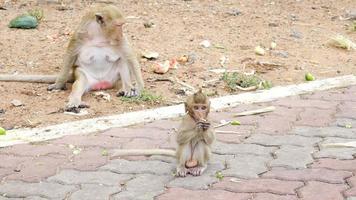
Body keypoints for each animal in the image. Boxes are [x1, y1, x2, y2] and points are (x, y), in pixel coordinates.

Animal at [1, 5, 145, 111]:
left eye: (122, 25)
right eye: (118, 26)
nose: (121, 35)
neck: (99, 35)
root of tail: (102, 84)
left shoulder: (118, 42)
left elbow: (129, 57)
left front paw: (139, 88)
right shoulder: (78, 37)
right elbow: (69, 56)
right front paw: (58, 84)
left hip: (114, 78)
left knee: (122, 61)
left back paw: (126, 88)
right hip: (86, 77)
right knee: (80, 81)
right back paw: (75, 101)